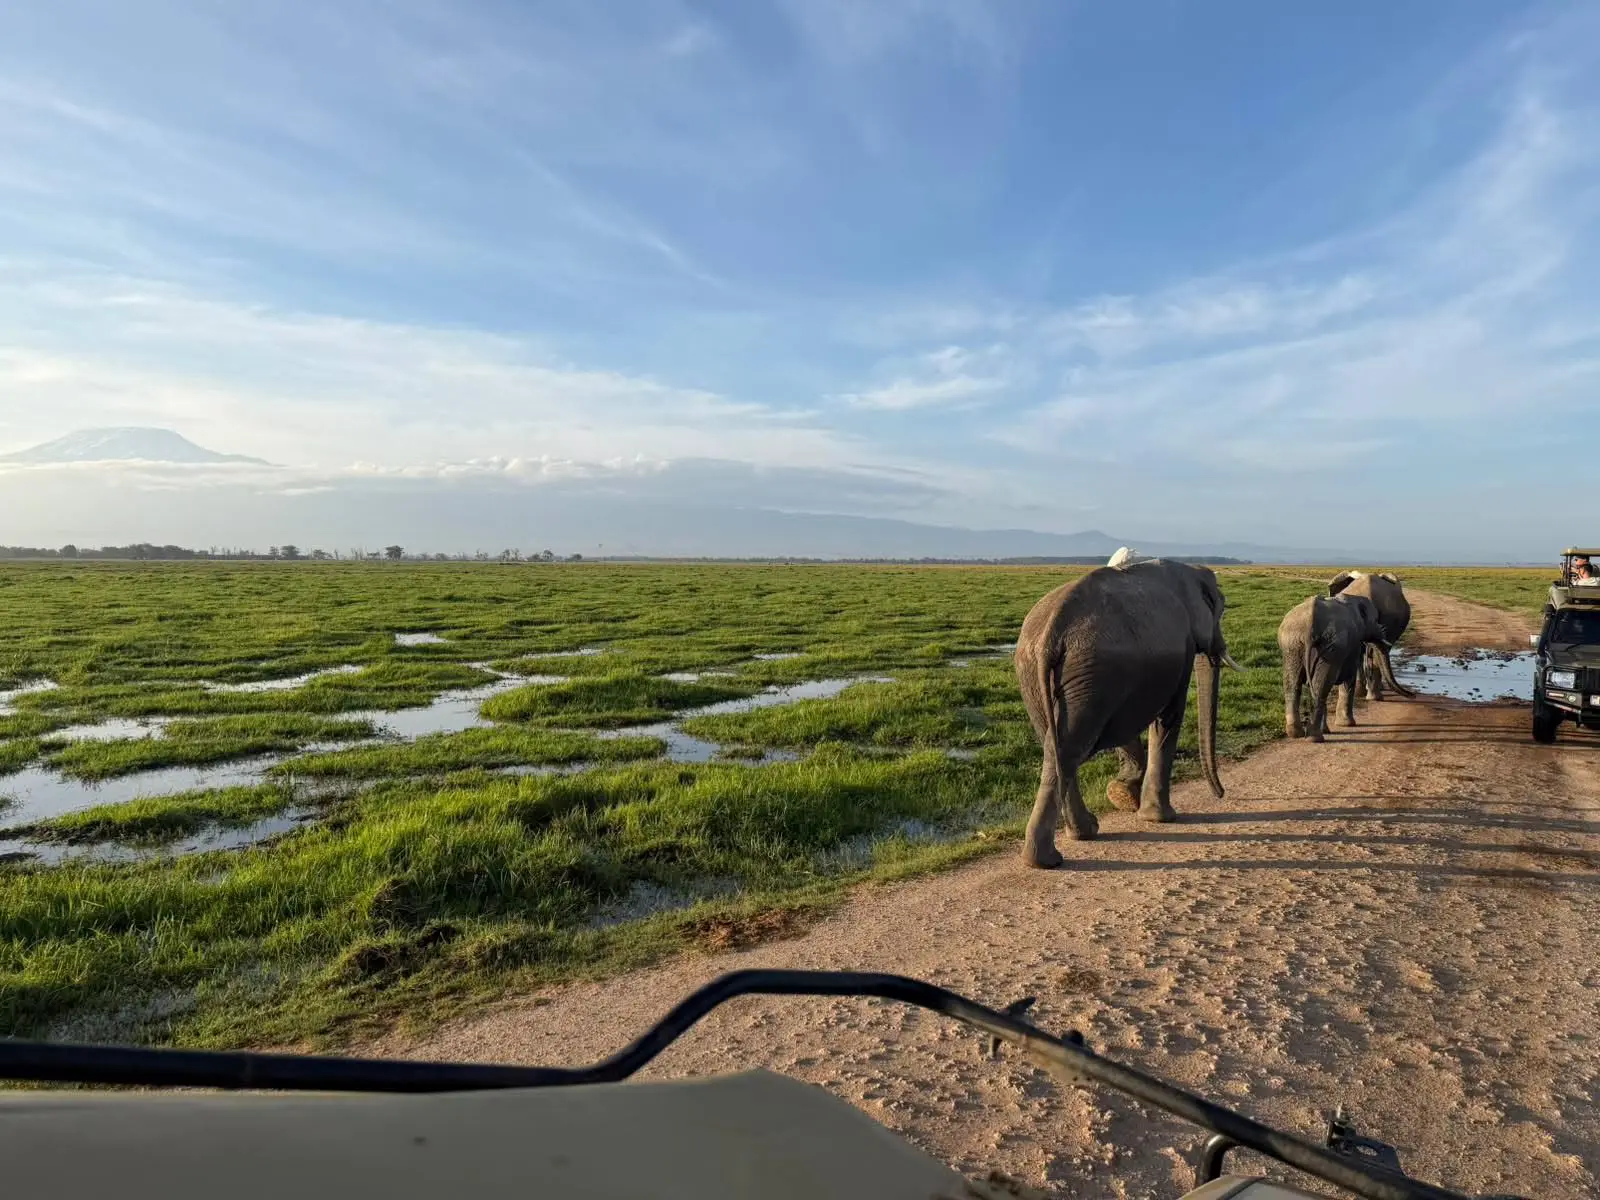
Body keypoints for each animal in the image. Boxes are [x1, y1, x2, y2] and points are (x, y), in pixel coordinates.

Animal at [1014, 558, 1241, 869]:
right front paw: (1161, 818)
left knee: (1056, 745)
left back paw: (1079, 836)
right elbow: (1169, 717)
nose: (1220, 794)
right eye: (1219, 608)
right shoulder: (1181, 648)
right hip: (1089, 673)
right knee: (1070, 746)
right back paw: (1048, 859)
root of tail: (1051, 631)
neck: (1189, 570)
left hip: (1042, 674)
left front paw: (1124, 796)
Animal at [1277, 594, 1390, 741]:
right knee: (1320, 688)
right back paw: (1315, 738)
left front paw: (1328, 730)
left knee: (1292, 685)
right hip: (1331, 648)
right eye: (1376, 619)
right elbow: (1349, 678)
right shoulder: (1352, 646)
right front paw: (1346, 725)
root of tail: (1310, 624)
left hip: (1292, 644)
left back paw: (1295, 734)